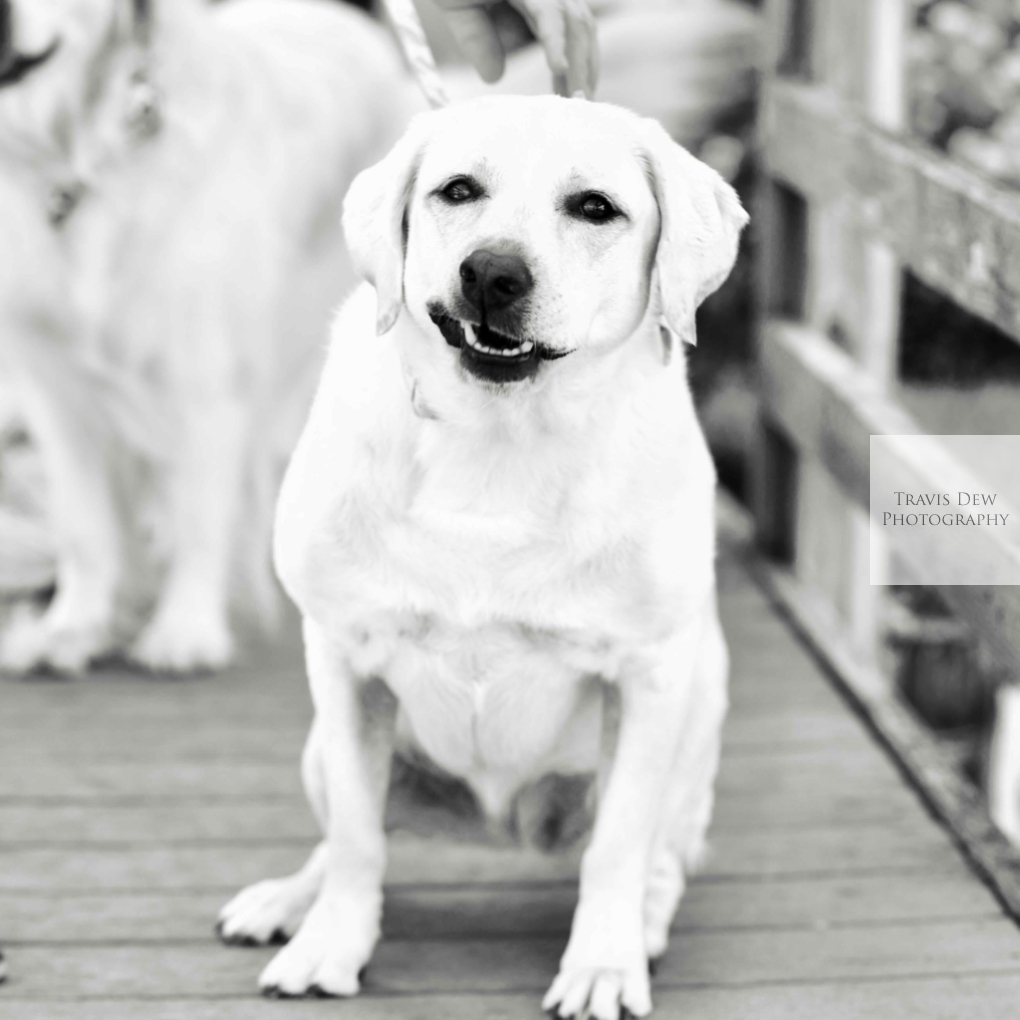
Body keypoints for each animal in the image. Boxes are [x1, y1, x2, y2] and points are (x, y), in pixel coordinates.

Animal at [0, 0, 419, 672]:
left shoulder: (204, 376)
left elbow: (198, 513)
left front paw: (185, 631)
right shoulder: (55, 384)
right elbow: (84, 524)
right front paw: (73, 627)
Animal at [217, 94, 747, 1019]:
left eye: (596, 207)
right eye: (457, 190)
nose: (492, 274)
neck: (500, 444)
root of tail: (502, 824)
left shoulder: (649, 675)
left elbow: (618, 848)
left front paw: (602, 965)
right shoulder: (344, 662)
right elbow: (356, 838)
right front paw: (330, 944)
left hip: (695, 719)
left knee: (660, 856)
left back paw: (641, 924)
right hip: (321, 745)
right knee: (344, 834)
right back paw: (290, 901)